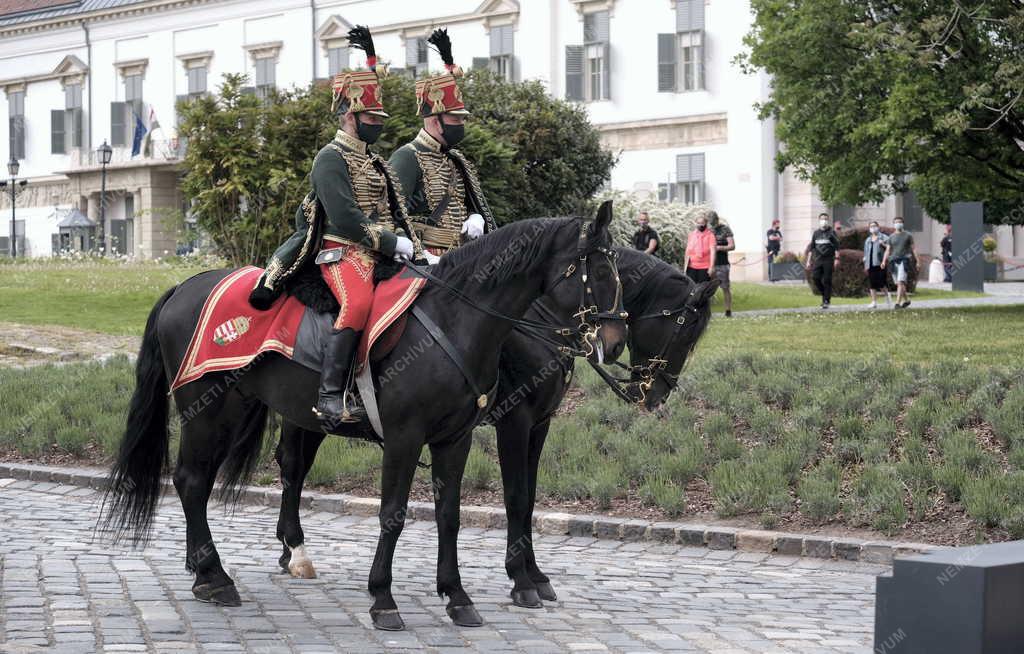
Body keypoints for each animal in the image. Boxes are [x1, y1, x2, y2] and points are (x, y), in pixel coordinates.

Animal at [272, 246, 720, 609]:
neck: (538, 320)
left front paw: (535, 575)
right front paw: (521, 580)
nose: (656, 394)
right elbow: (516, 497)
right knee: (293, 466)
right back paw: (295, 548)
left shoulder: (539, 425)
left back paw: (288, 548)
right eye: (685, 330)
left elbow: (530, 498)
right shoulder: (515, 422)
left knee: (294, 466)